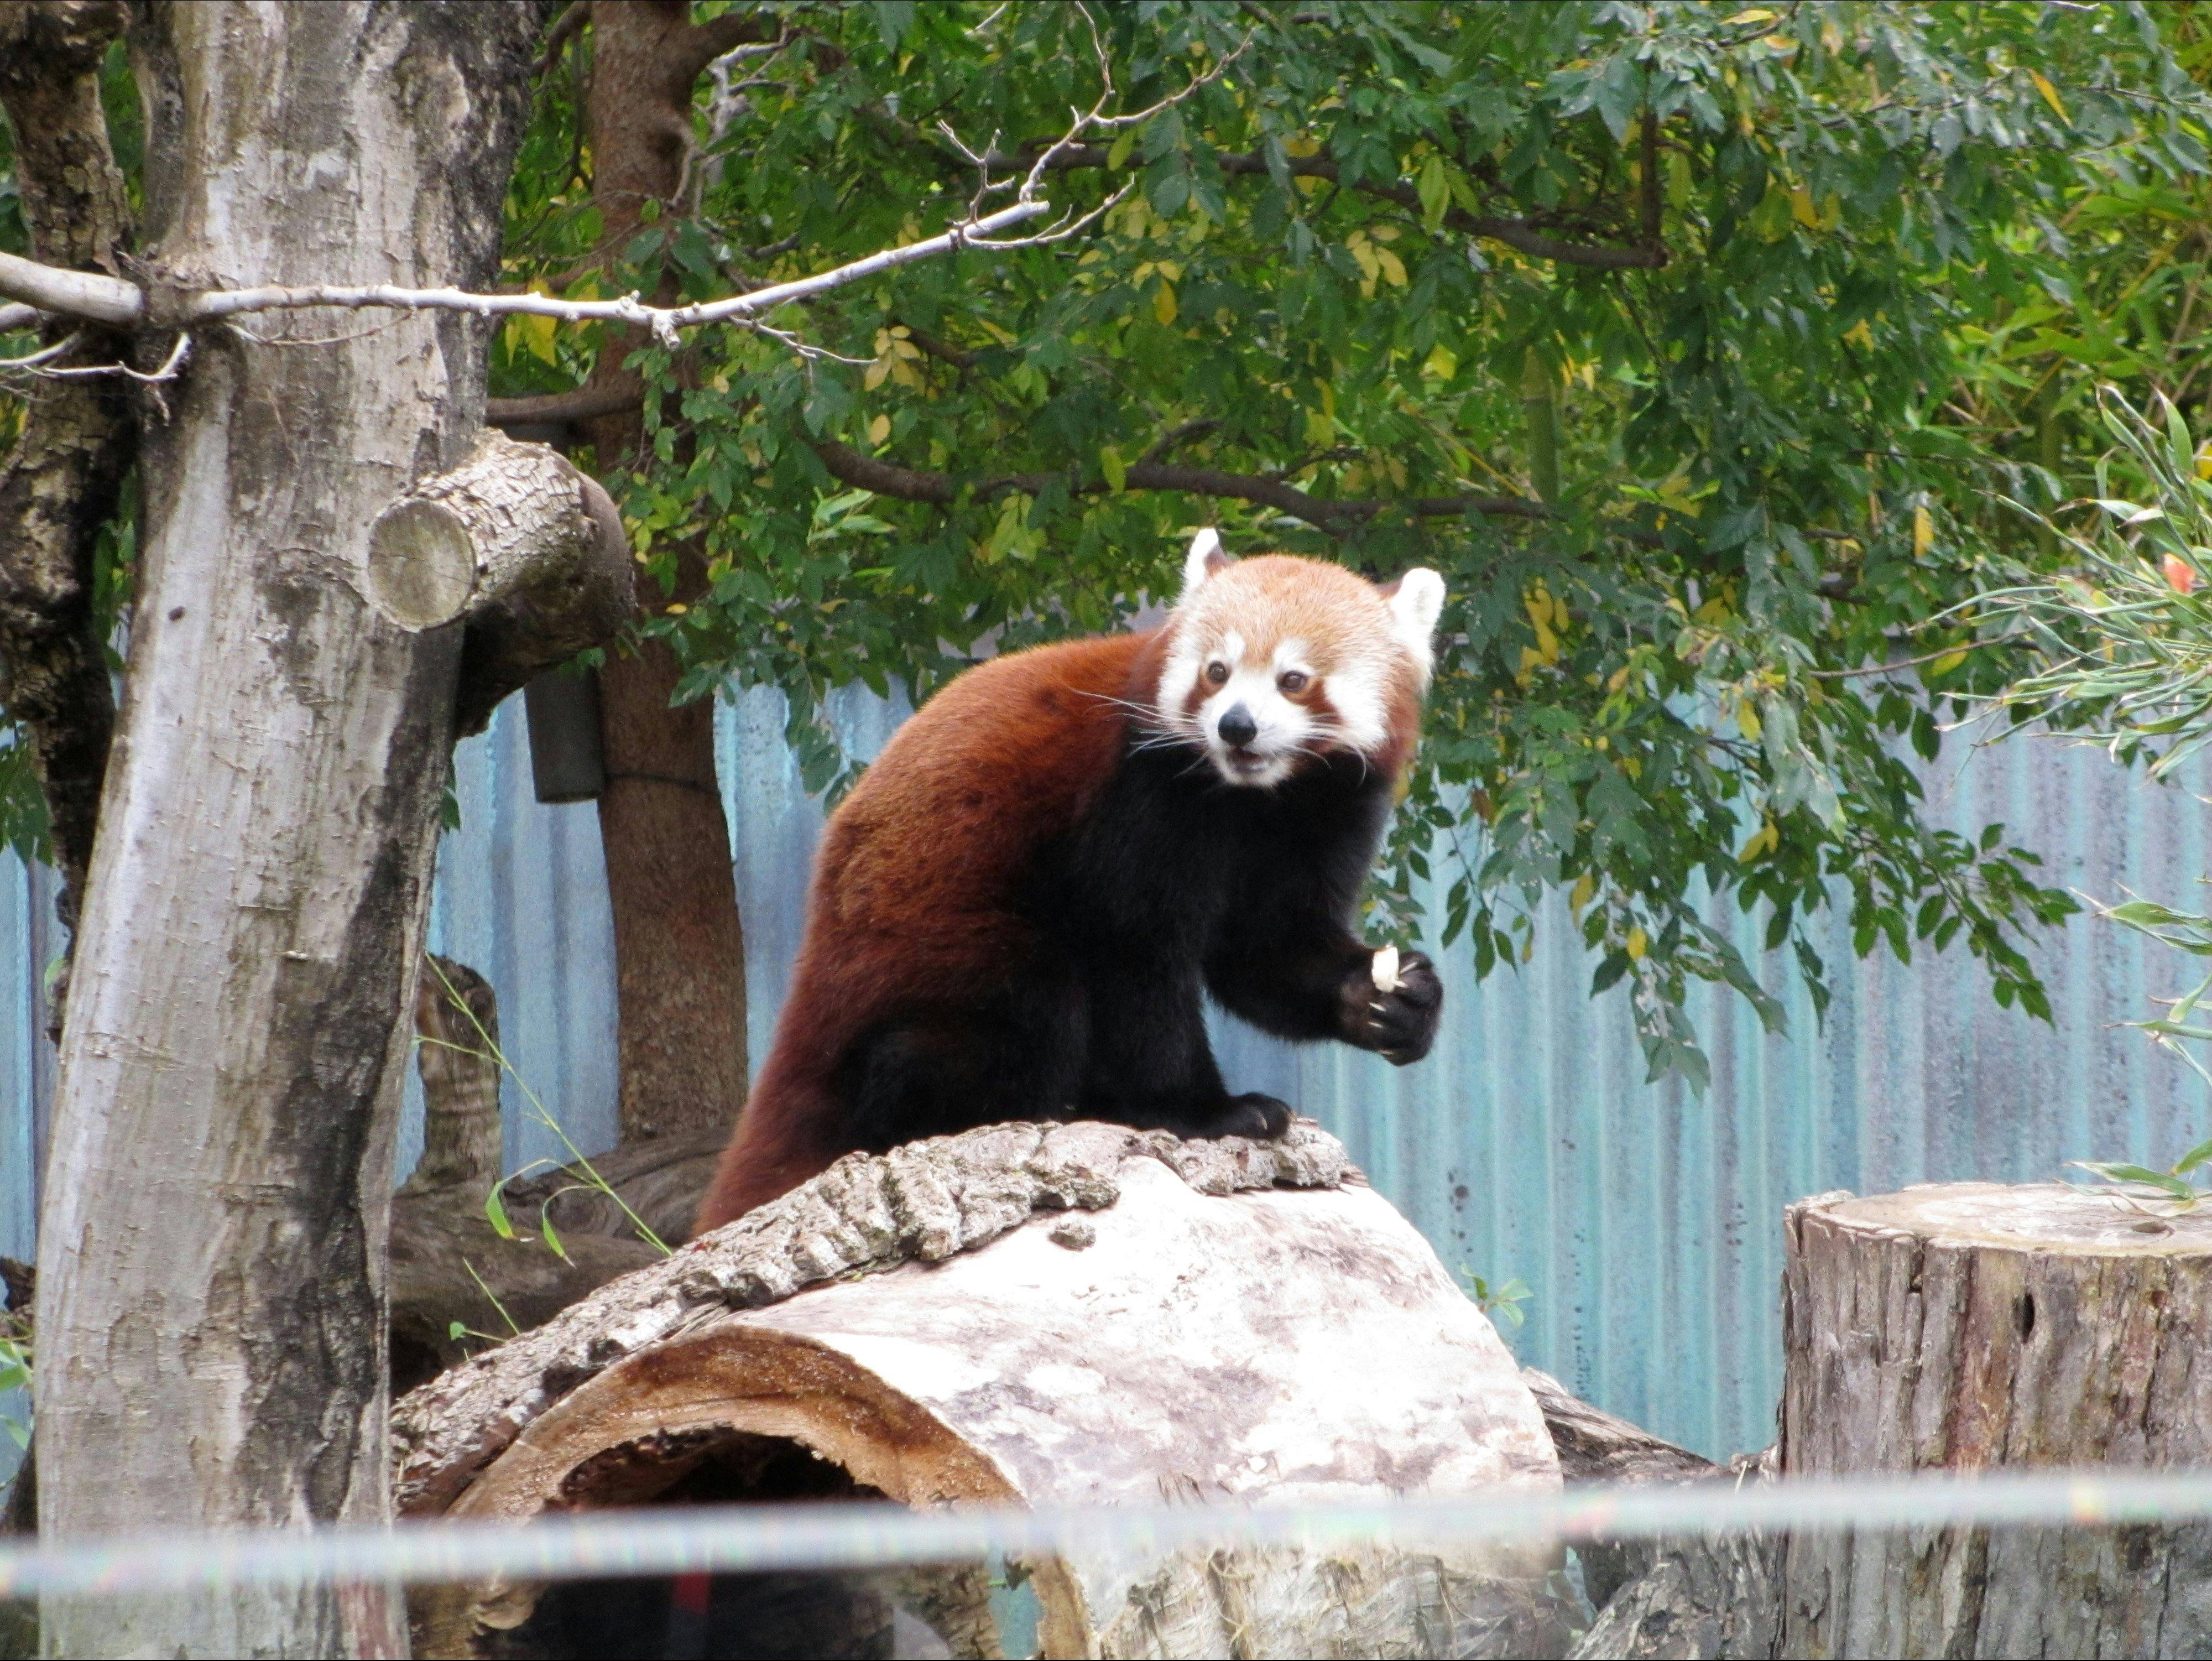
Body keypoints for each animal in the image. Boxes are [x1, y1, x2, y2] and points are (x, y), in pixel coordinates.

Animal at [695, 533, 1451, 1238]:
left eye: (1293, 679)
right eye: (1216, 672)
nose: (1235, 726)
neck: (1254, 798)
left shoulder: (1323, 814)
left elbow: (1269, 949)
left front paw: (1390, 1000)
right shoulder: (1139, 795)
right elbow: (1134, 954)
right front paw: (1206, 1110)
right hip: (936, 941)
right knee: (1026, 1007)